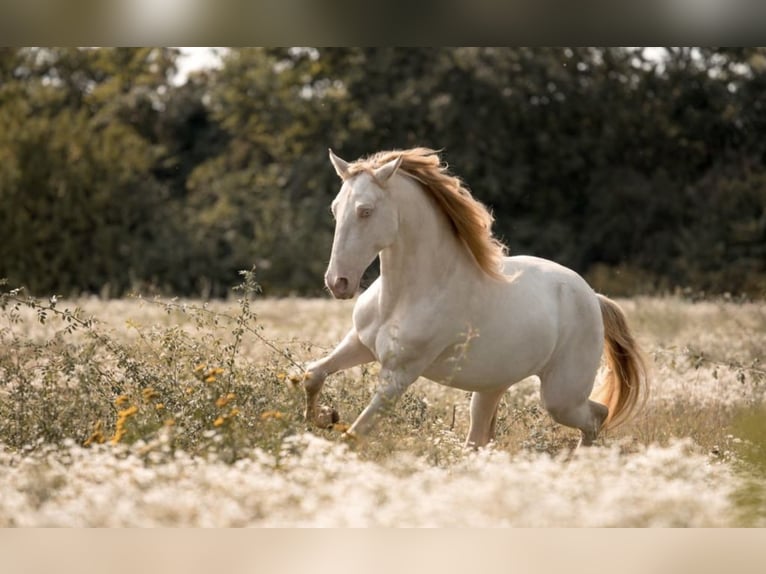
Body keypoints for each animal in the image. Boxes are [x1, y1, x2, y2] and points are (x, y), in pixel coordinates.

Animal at [300, 148, 648, 450]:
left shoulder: (399, 375)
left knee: (596, 416)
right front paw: (325, 416)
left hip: (561, 397)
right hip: (491, 389)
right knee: (479, 440)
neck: (407, 295)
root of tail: (593, 298)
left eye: (366, 211)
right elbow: (312, 375)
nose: (338, 283)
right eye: (335, 208)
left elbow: (355, 434)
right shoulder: (359, 343)